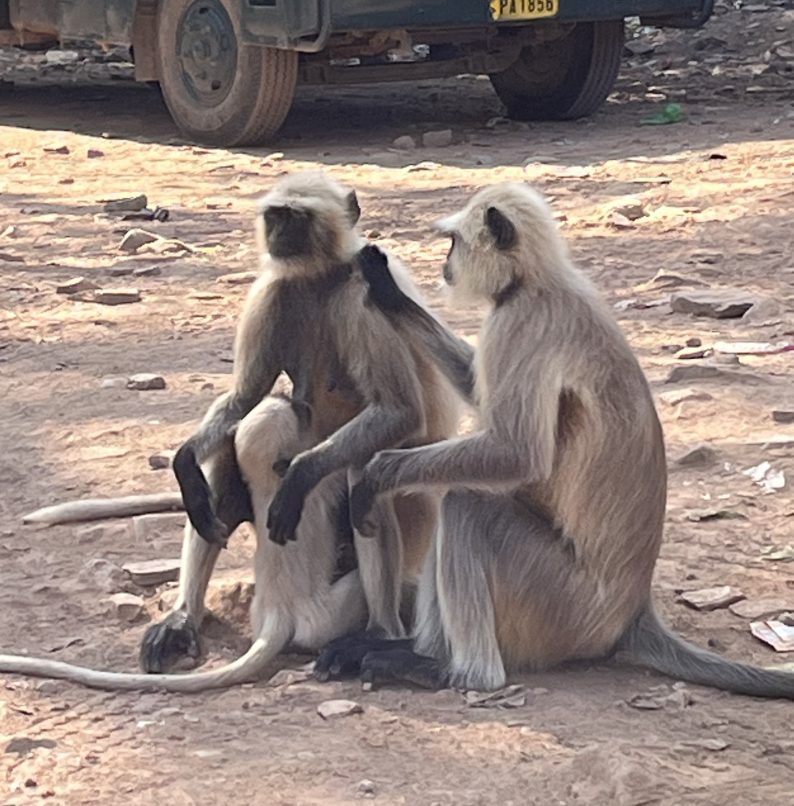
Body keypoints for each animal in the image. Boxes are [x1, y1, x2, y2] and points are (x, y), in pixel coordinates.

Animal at [0, 174, 458, 692]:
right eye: (275, 216)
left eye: (296, 218)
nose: (277, 235)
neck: (322, 276)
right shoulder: (272, 289)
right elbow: (243, 399)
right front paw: (187, 466)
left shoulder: (365, 292)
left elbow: (399, 412)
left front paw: (299, 477)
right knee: (229, 450)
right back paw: (183, 617)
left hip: (417, 509)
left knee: (364, 466)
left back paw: (378, 633)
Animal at [314, 183, 792, 700]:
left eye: (454, 242)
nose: (446, 264)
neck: (534, 281)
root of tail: (632, 614)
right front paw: (388, 294)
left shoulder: (521, 322)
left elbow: (516, 454)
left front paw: (377, 473)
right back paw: (413, 652)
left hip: (561, 604)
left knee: (468, 505)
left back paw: (456, 673)